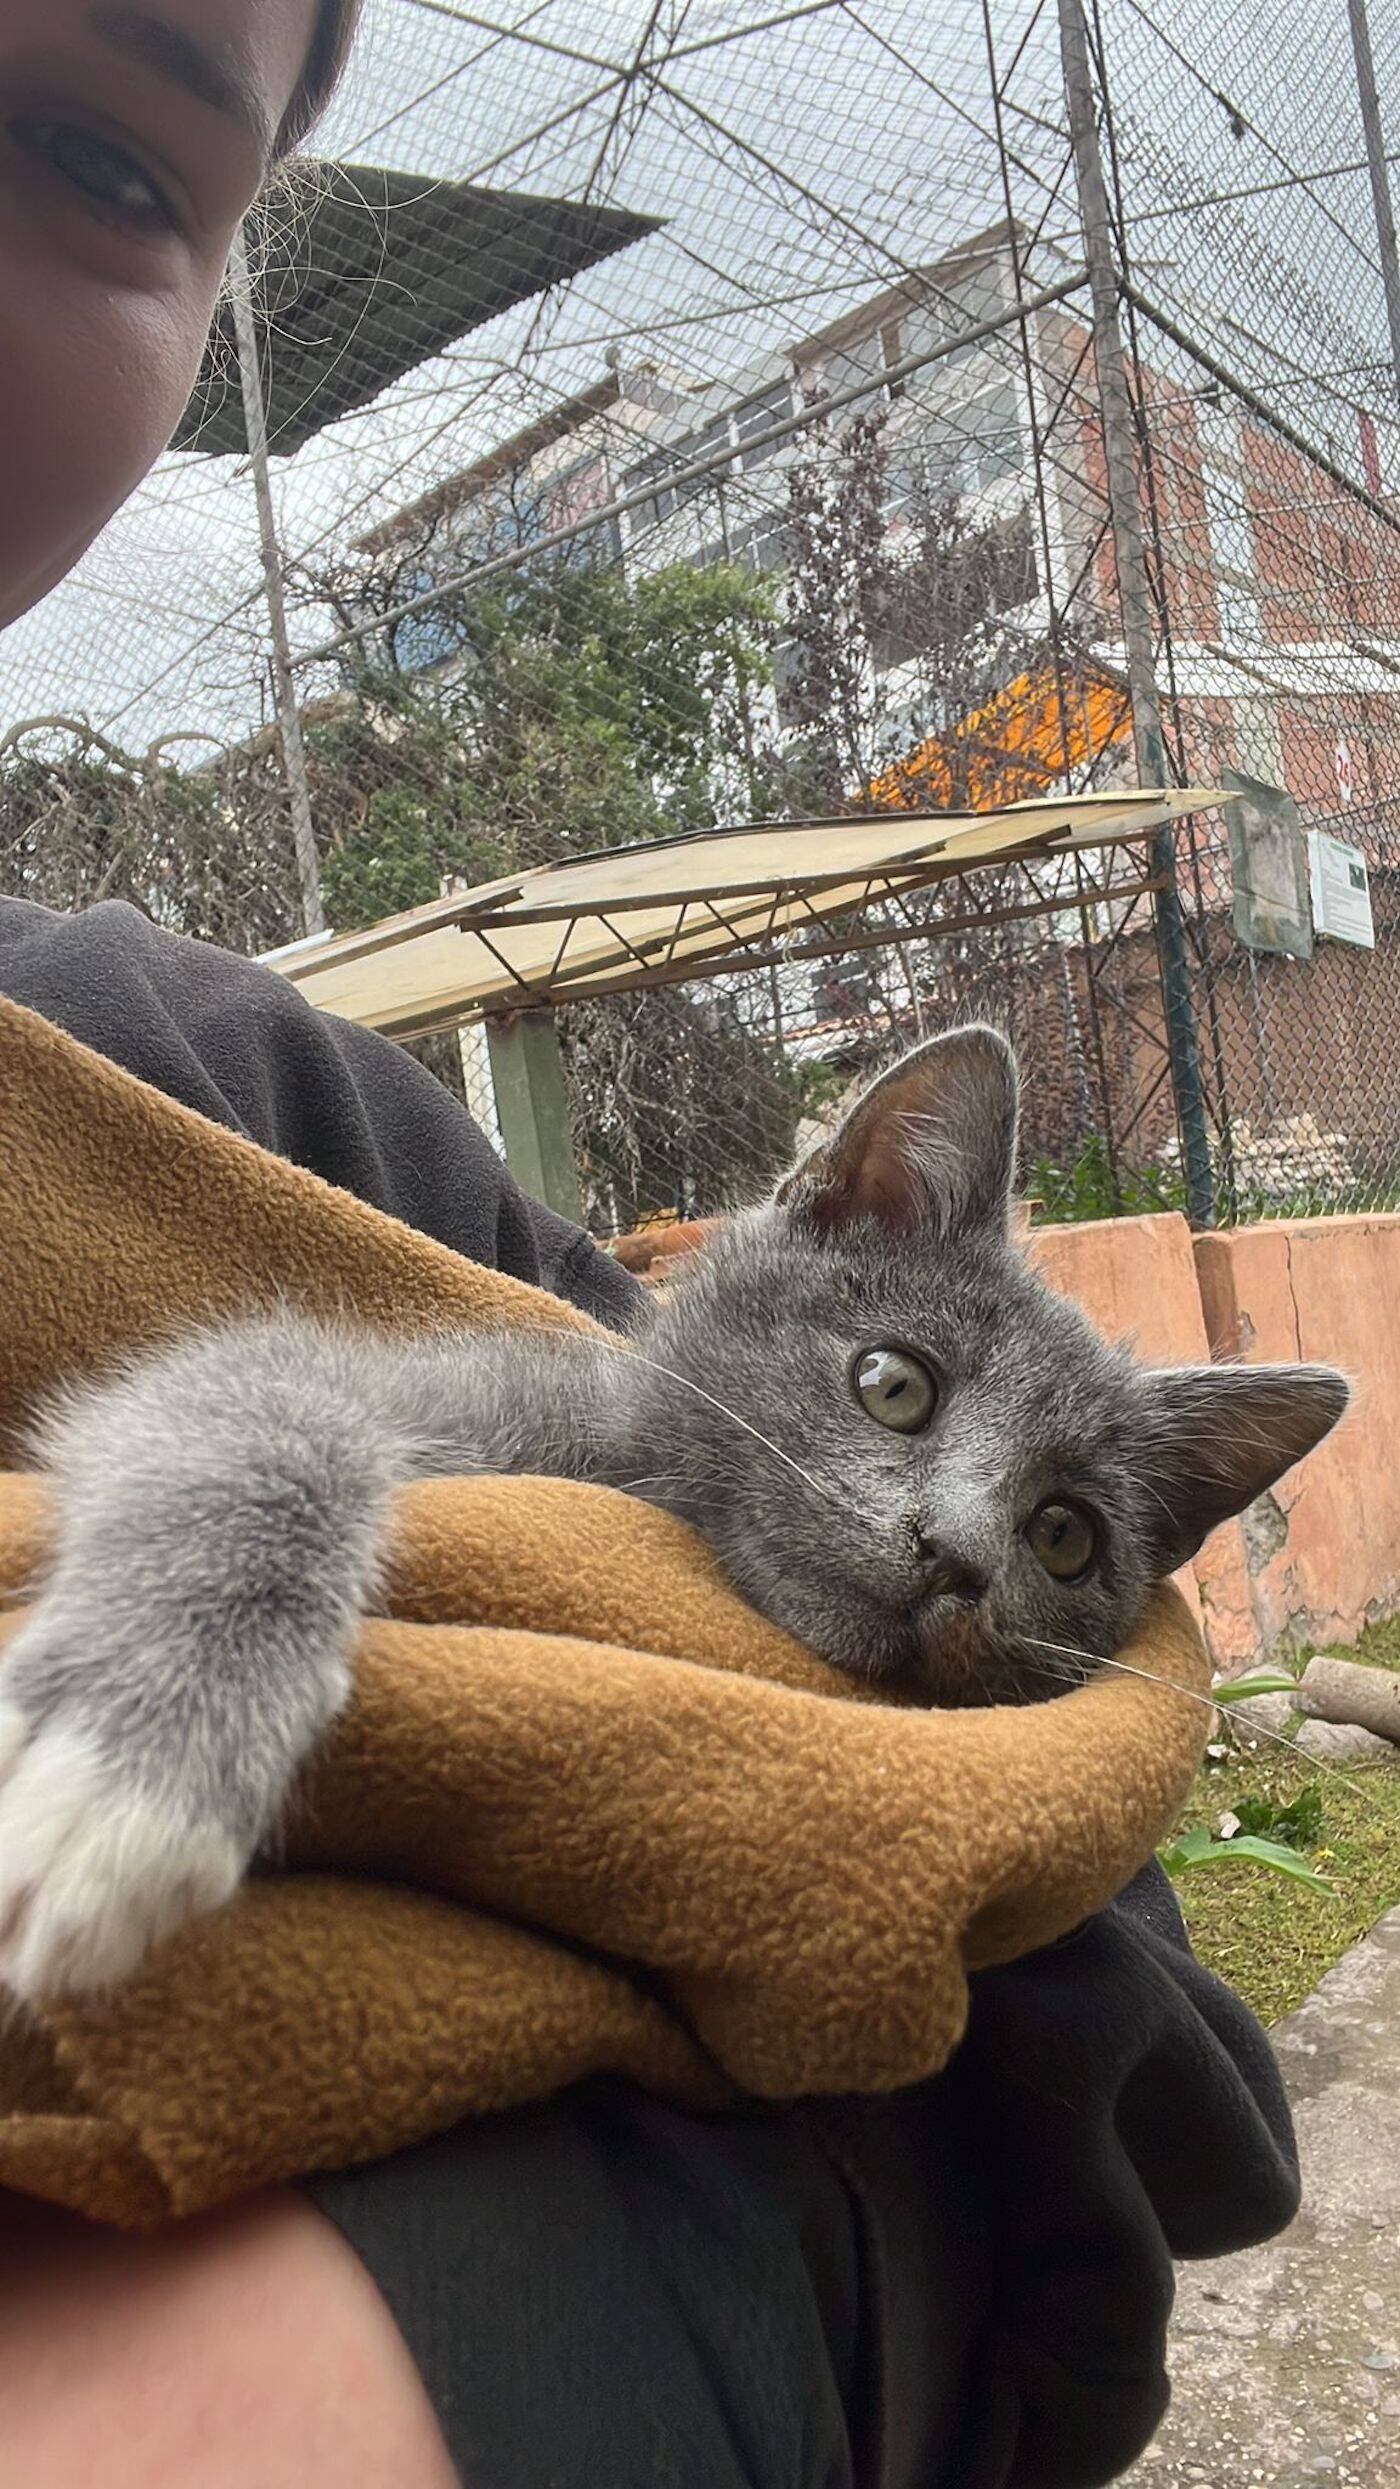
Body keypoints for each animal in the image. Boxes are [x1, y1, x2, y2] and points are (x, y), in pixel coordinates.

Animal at [0, 1024, 1347, 2003]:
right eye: (892, 1383)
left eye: (1064, 1536)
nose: (953, 1551)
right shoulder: (312, 1376)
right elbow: (255, 1426)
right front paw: (128, 1760)